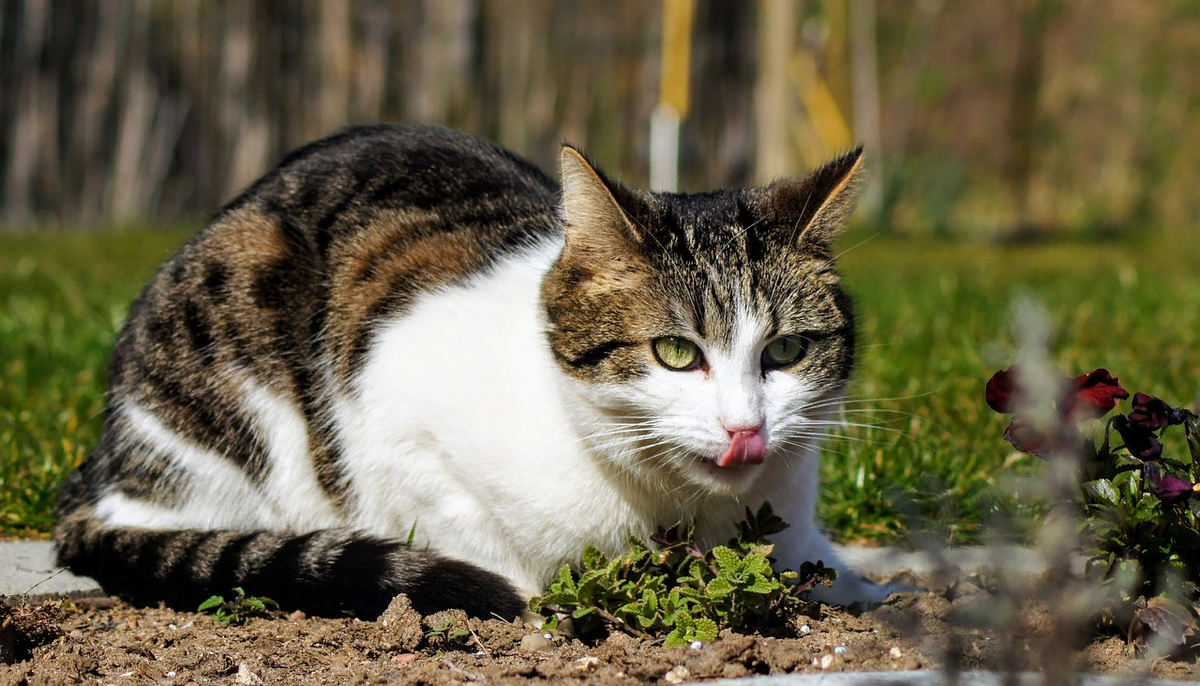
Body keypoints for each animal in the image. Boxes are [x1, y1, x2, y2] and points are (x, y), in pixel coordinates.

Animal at [54, 124, 892, 623]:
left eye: (785, 352)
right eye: (677, 353)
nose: (746, 429)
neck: (680, 512)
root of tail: (98, 464)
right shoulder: (395, 422)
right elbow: (469, 530)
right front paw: (523, 594)